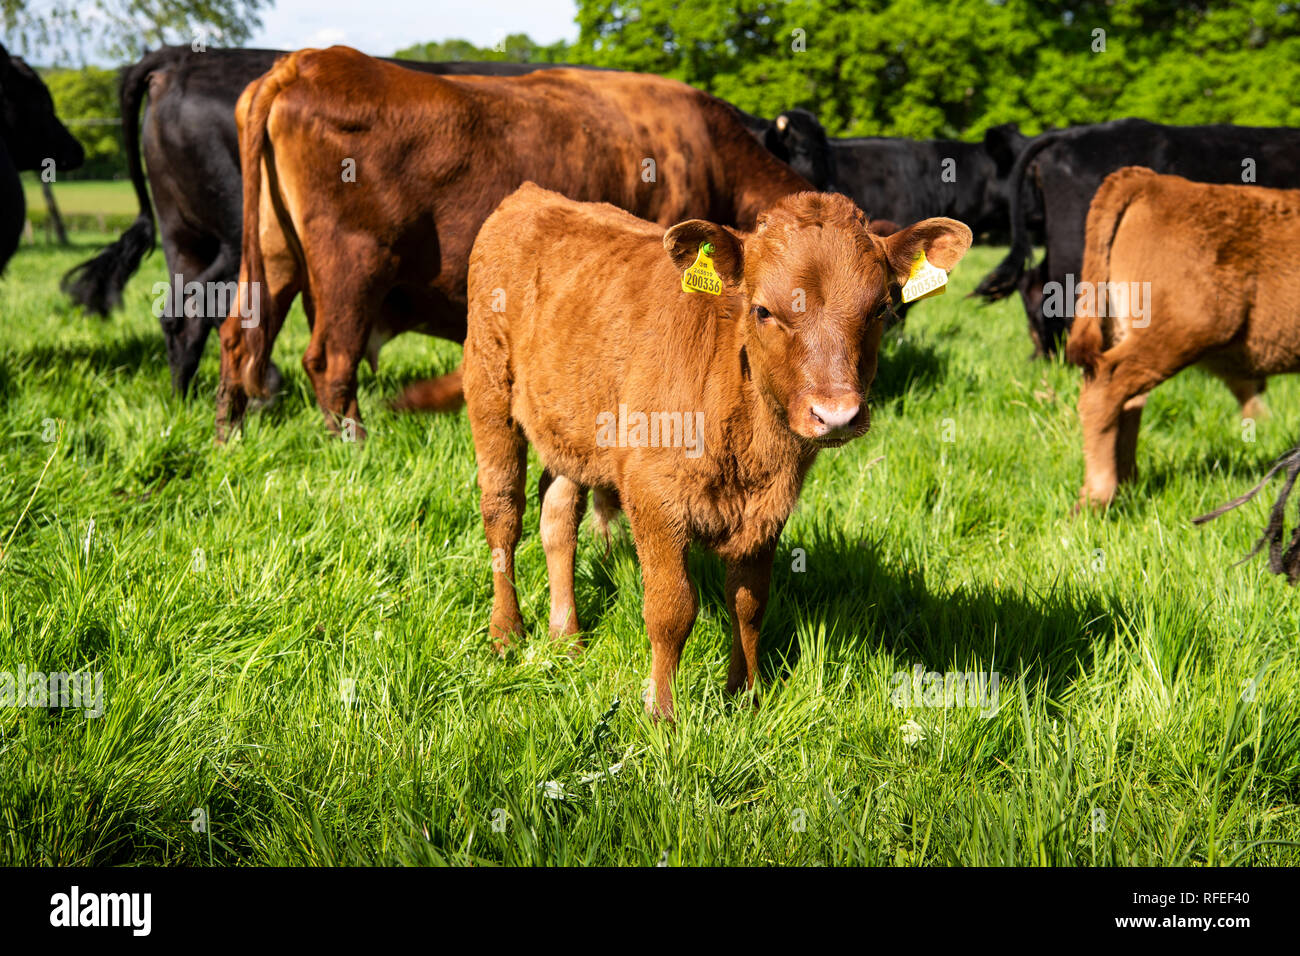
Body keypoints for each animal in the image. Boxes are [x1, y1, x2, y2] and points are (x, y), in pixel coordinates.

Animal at [462, 183, 972, 717]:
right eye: (763, 310)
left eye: (879, 311)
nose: (836, 414)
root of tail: (532, 195)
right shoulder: (651, 494)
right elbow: (671, 608)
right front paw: (661, 712)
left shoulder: (768, 509)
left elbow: (749, 601)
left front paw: (745, 695)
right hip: (488, 388)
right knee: (503, 514)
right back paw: (507, 633)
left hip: (569, 424)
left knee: (558, 514)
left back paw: (567, 637)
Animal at [1066, 166, 1300, 509]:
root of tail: (1151, 180)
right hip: (1179, 331)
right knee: (1105, 388)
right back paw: (1099, 496)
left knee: (1128, 402)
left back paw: (1126, 486)